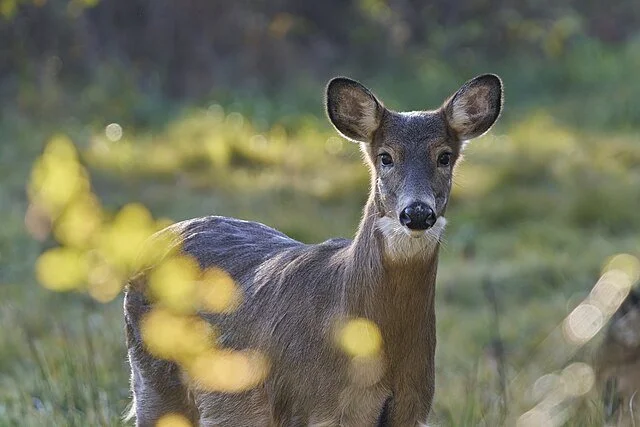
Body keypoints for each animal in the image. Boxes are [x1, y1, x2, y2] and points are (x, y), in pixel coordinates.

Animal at [124, 74, 503, 426]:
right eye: (385, 157)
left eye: (444, 157)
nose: (418, 213)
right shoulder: (304, 404)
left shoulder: (413, 406)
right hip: (153, 382)